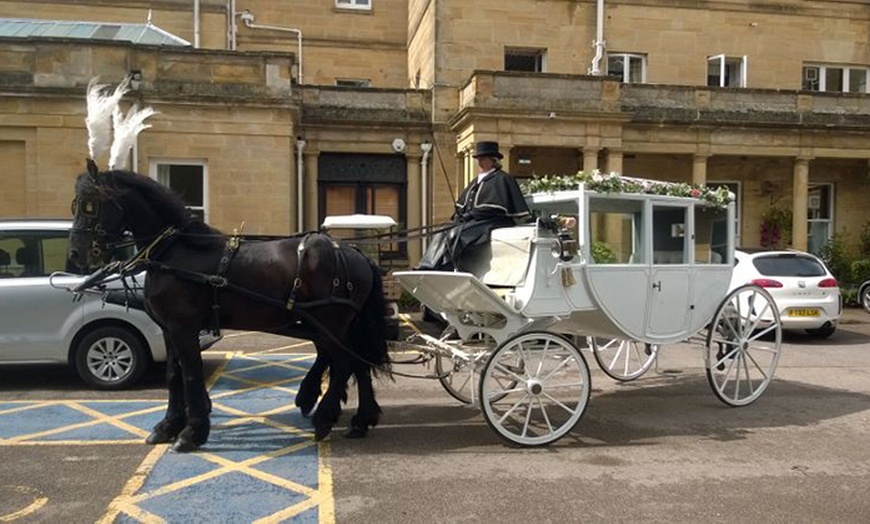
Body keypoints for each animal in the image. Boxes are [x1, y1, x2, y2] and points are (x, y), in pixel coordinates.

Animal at [68, 166, 392, 452]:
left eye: (89, 205)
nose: (76, 255)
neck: (176, 252)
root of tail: (355, 253)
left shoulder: (183, 328)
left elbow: (190, 374)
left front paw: (191, 433)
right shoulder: (168, 329)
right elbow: (173, 375)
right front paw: (168, 425)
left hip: (331, 322)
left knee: (345, 362)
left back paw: (325, 417)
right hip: (338, 324)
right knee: (357, 362)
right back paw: (360, 420)